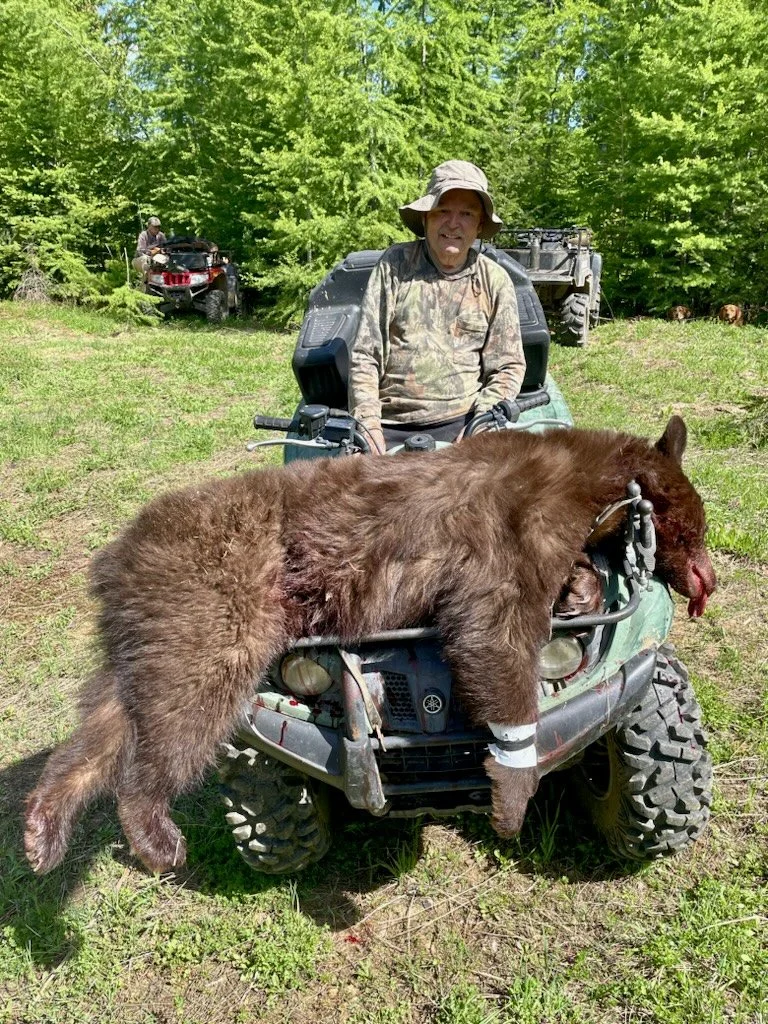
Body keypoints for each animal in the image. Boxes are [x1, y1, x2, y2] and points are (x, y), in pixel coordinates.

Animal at [24, 415, 716, 876]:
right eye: (697, 528)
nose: (707, 579)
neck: (591, 476)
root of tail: (112, 561)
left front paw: (580, 589)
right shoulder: (517, 524)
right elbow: (492, 628)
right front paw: (511, 800)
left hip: (150, 634)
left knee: (108, 721)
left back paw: (41, 828)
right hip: (214, 609)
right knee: (179, 713)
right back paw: (155, 835)